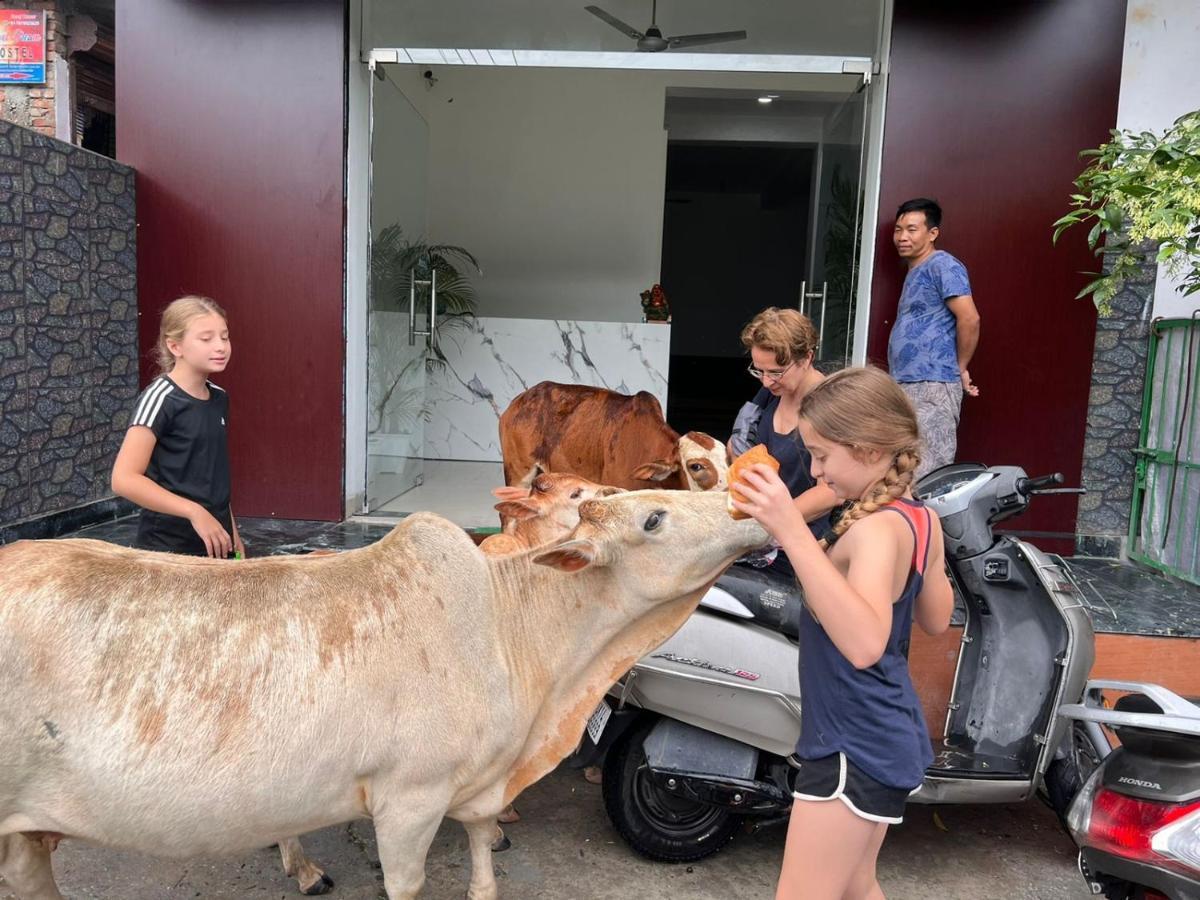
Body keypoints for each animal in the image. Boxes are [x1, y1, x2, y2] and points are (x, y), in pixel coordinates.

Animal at [0, 494, 768, 900]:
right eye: (655, 519)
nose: (749, 505)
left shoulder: (477, 784)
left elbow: (484, 860)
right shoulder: (409, 798)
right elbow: (408, 883)